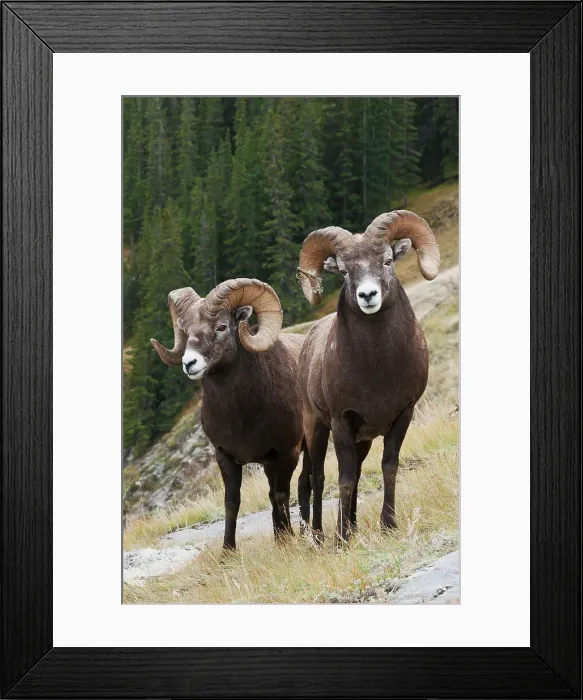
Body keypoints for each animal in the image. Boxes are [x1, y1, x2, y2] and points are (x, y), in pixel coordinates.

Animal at [151, 278, 305, 551]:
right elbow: (232, 503)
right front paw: (228, 551)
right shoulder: (226, 457)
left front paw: (287, 542)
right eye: (186, 330)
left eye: (222, 327)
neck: (242, 416)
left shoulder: (288, 453)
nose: (189, 363)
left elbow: (282, 495)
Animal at [295, 210, 440, 544]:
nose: (368, 295)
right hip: (316, 428)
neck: (377, 372)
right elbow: (344, 479)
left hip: (362, 440)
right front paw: (341, 540)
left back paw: (353, 526)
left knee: (356, 473)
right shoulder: (341, 421)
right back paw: (320, 537)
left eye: (387, 260)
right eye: (345, 271)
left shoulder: (402, 415)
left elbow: (388, 467)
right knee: (316, 477)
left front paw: (388, 525)